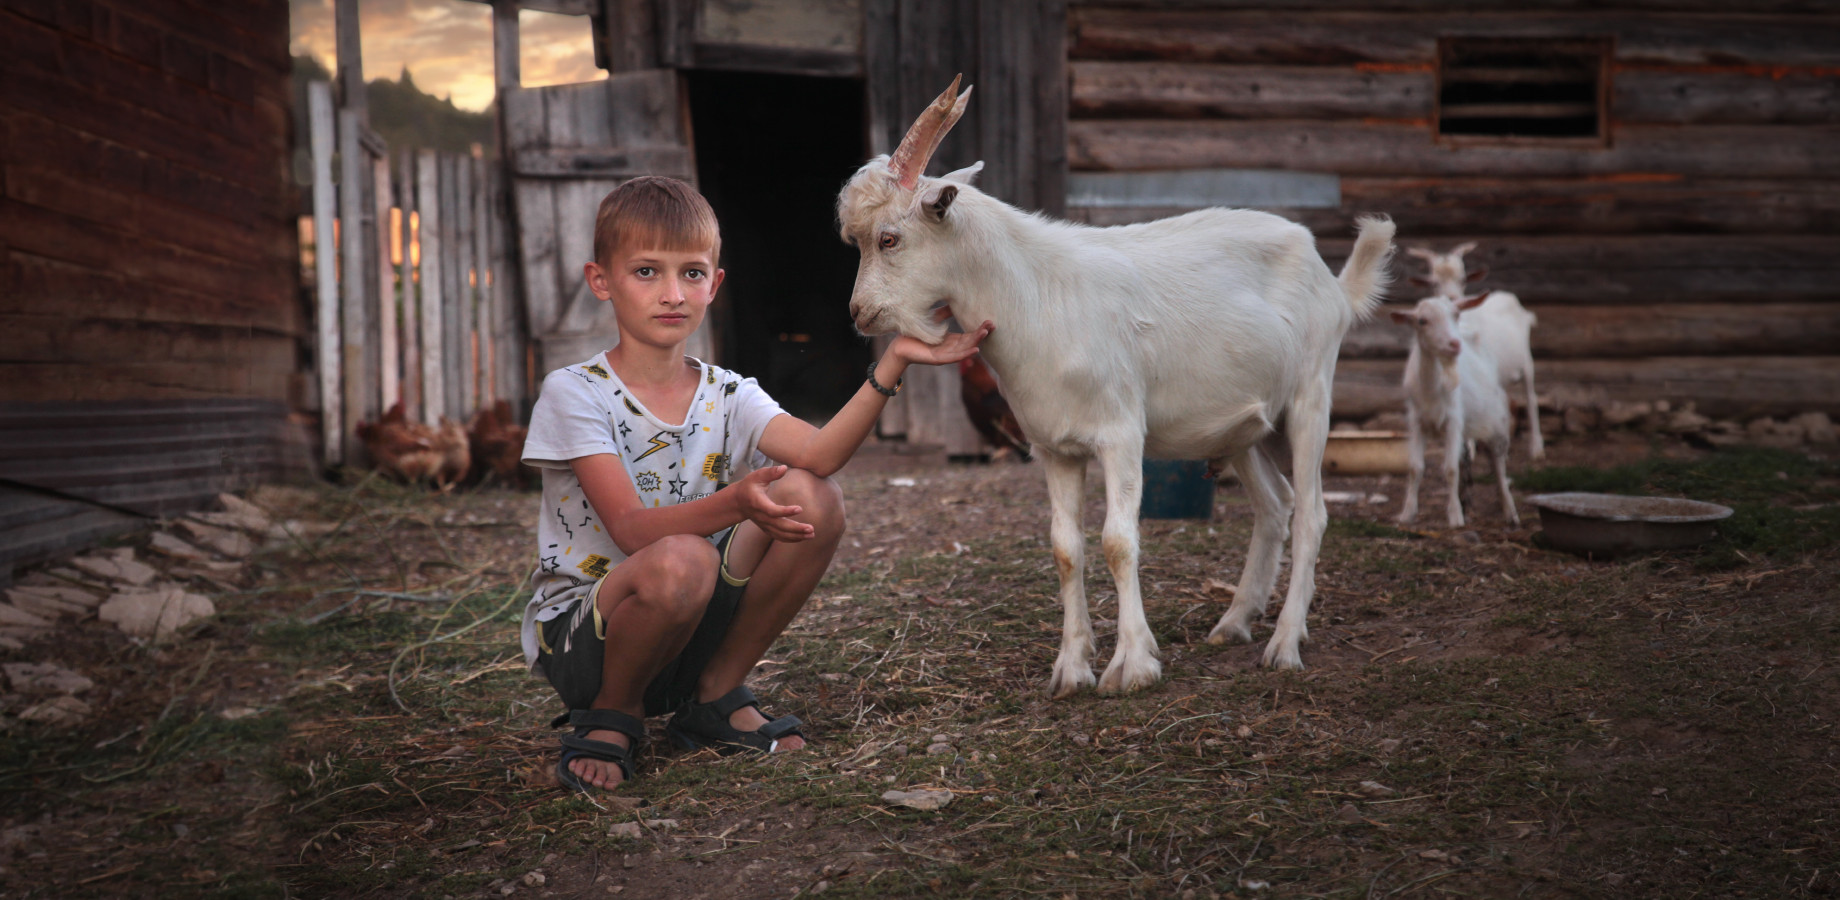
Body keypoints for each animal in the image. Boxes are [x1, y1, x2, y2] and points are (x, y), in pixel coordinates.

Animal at [842, 80, 1398, 684]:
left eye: (888, 239)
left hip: (1310, 395)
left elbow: (1117, 541)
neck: (1037, 296)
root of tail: (1333, 282)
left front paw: (1132, 664)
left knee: (1313, 515)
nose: (858, 313)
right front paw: (1071, 668)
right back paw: (1233, 623)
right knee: (1276, 505)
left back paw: (1286, 643)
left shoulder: (1121, 434)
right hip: (1247, 425)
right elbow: (1066, 548)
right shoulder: (1053, 448)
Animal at [1391, 294, 1523, 530]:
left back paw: (1511, 514)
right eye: (1422, 321)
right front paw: (1407, 514)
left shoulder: (1454, 420)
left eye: (1455, 314)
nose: (1454, 344)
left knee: (1499, 465)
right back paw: (1468, 501)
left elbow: (1451, 469)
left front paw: (1455, 517)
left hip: (1496, 421)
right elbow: (1415, 468)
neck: (1432, 389)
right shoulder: (1417, 421)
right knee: (1469, 461)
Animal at [1405, 242, 1538, 460]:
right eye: (1434, 283)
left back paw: (1536, 448)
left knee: (1531, 398)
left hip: (1526, 362)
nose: (1451, 298)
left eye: (1463, 280)